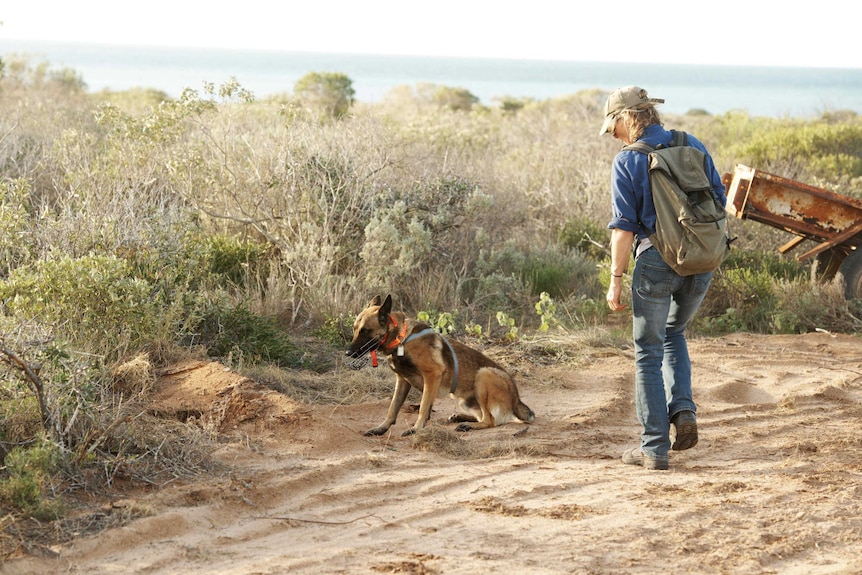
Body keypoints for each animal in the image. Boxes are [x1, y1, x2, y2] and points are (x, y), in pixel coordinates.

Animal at [344, 296, 532, 436]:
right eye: (354, 329)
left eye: (365, 331)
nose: (347, 352)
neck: (401, 339)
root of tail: (517, 400)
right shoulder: (402, 381)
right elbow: (392, 408)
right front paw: (381, 428)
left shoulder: (432, 375)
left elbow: (423, 407)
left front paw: (416, 429)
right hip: (464, 400)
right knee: (484, 417)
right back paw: (460, 417)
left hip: (483, 375)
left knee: (490, 420)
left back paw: (468, 426)